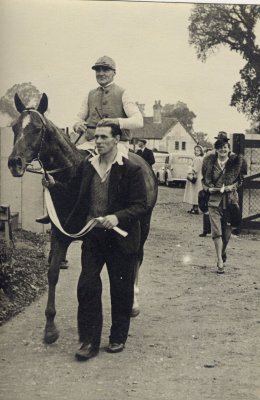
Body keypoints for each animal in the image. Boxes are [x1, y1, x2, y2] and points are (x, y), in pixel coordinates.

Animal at [8, 93, 157, 344]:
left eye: (37, 129)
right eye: (14, 127)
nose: (14, 163)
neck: (71, 181)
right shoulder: (59, 234)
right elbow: (53, 273)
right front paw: (50, 327)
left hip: (142, 227)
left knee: (136, 258)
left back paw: (134, 304)